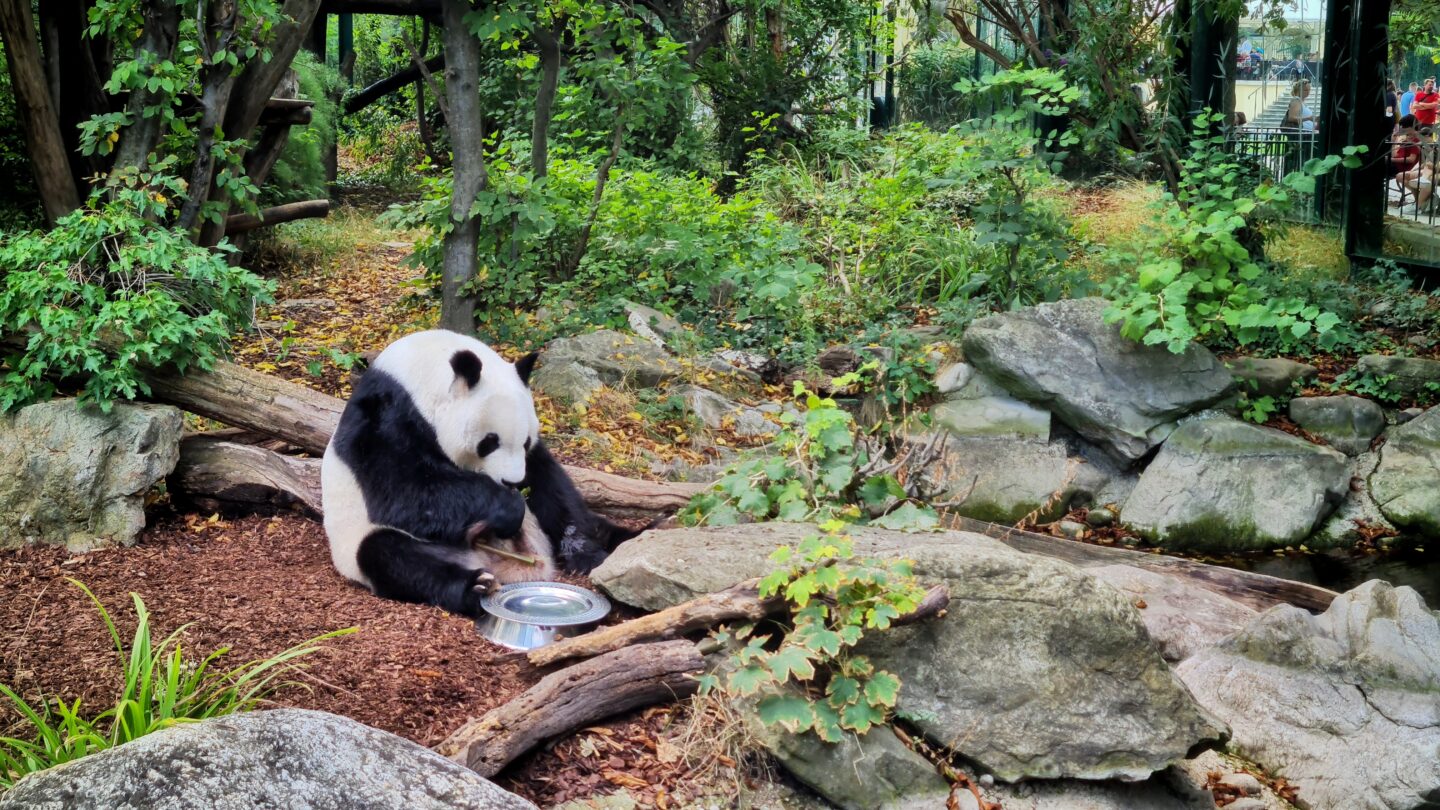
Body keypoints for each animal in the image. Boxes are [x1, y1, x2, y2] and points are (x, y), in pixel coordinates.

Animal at [321, 329, 639, 617]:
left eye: (525, 441)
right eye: (489, 441)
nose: (511, 481)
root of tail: (505, 566)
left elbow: (548, 483)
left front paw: (582, 551)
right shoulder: (383, 418)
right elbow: (403, 492)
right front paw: (508, 509)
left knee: (597, 524)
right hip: (360, 543)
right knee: (391, 556)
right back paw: (474, 587)